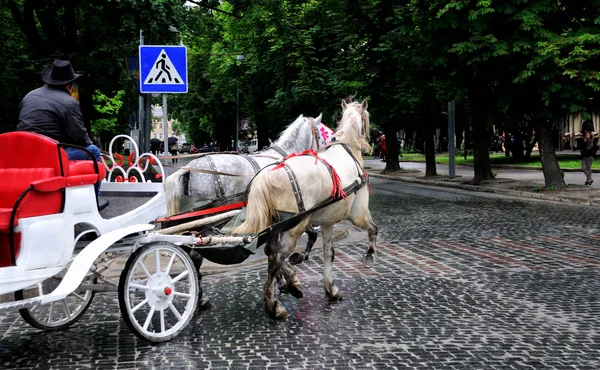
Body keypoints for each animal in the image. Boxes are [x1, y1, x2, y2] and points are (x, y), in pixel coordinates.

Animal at [233, 99, 378, 320]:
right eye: (366, 118)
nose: (372, 139)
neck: (348, 149)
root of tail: (265, 176)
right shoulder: (358, 214)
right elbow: (373, 229)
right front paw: (369, 255)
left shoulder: (327, 222)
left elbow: (328, 253)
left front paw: (331, 289)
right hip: (295, 225)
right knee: (276, 256)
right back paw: (276, 304)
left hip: (276, 227)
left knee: (270, 252)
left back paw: (288, 285)